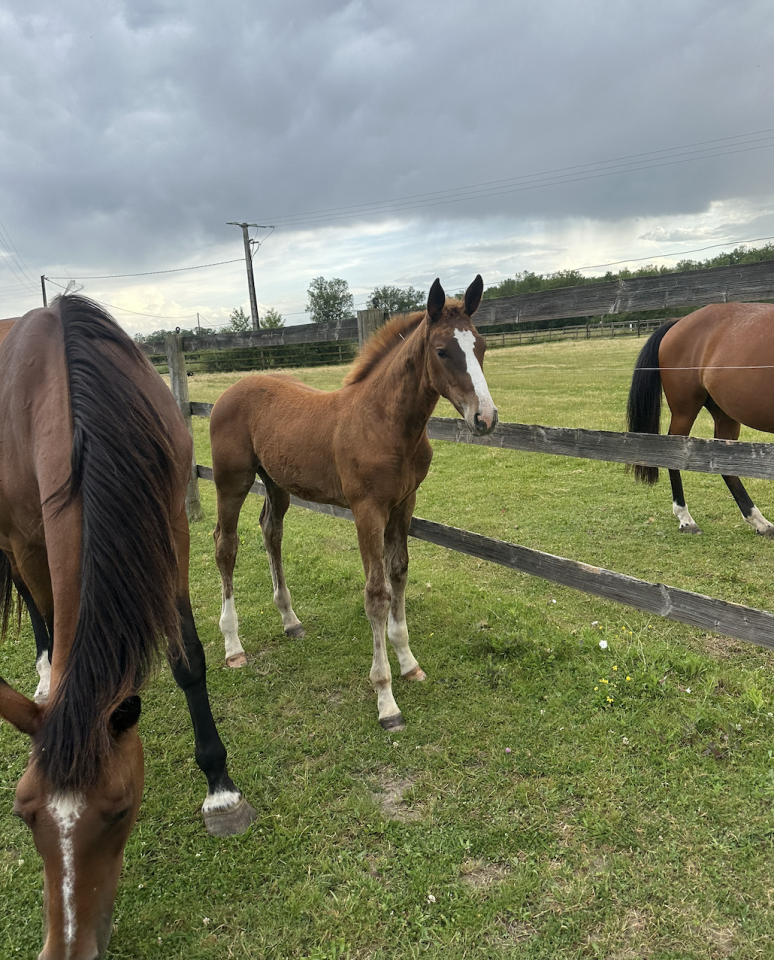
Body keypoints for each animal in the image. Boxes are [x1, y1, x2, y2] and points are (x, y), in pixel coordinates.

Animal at [0, 295, 255, 960]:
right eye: (23, 813)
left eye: (118, 809)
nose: (69, 950)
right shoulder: (29, 535)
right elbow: (50, 614)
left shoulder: (170, 525)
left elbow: (187, 655)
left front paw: (220, 787)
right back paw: (42, 675)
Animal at [210, 276, 498, 731]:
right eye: (442, 351)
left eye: (481, 346)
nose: (485, 419)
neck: (386, 423)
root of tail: (228, 392)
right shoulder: (367, 510)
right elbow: (377, 593)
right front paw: (386, 700)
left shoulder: (404, 505)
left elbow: (399, 573)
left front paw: (408, 663)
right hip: (231, 482)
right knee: (226, 545)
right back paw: (233, 646)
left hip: (276, 483)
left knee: (271, 533)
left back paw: (290, 621)